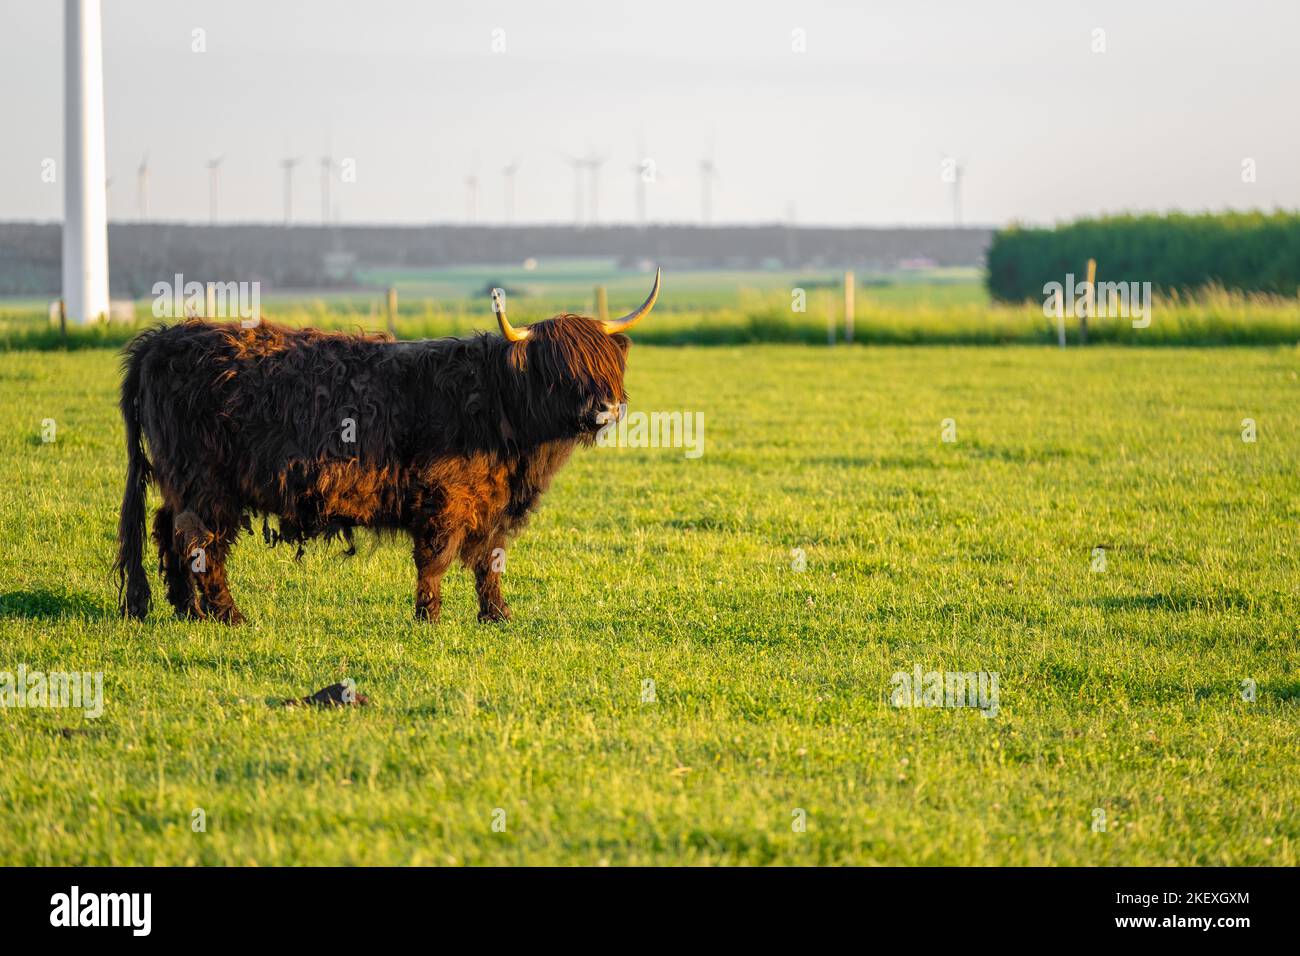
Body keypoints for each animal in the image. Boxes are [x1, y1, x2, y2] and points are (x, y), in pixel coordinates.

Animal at [113, 270, 661, 624]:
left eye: (605, 364)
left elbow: (489, 560)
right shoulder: (445, 496)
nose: (605, 408)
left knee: (167, 529)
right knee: (201, 540)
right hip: (205, 481)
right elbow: (435, 558)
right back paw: (226, 615)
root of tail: (160, 340)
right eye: (560, 368)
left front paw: (497, 615)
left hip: (180, 478)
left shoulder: (492, 505)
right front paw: (429, 617)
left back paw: (185, 608)